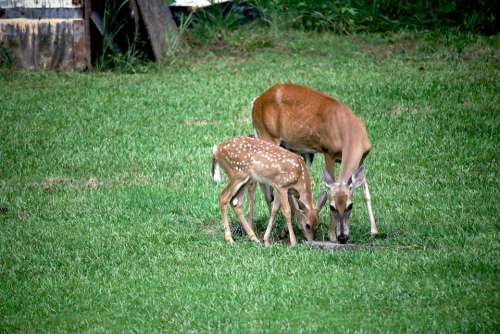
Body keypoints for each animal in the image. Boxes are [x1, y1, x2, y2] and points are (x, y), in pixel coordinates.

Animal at [252, 83, 376, 244]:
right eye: (332, 207)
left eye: (350, 205)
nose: (342, 237)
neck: (351, 133)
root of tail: (256, 101)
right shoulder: (328, 151)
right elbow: (329, 187)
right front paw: (331, 235)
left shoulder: (362, 158)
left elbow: (366, 192)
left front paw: (374, 231)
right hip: (268, 136)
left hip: (293, 148)